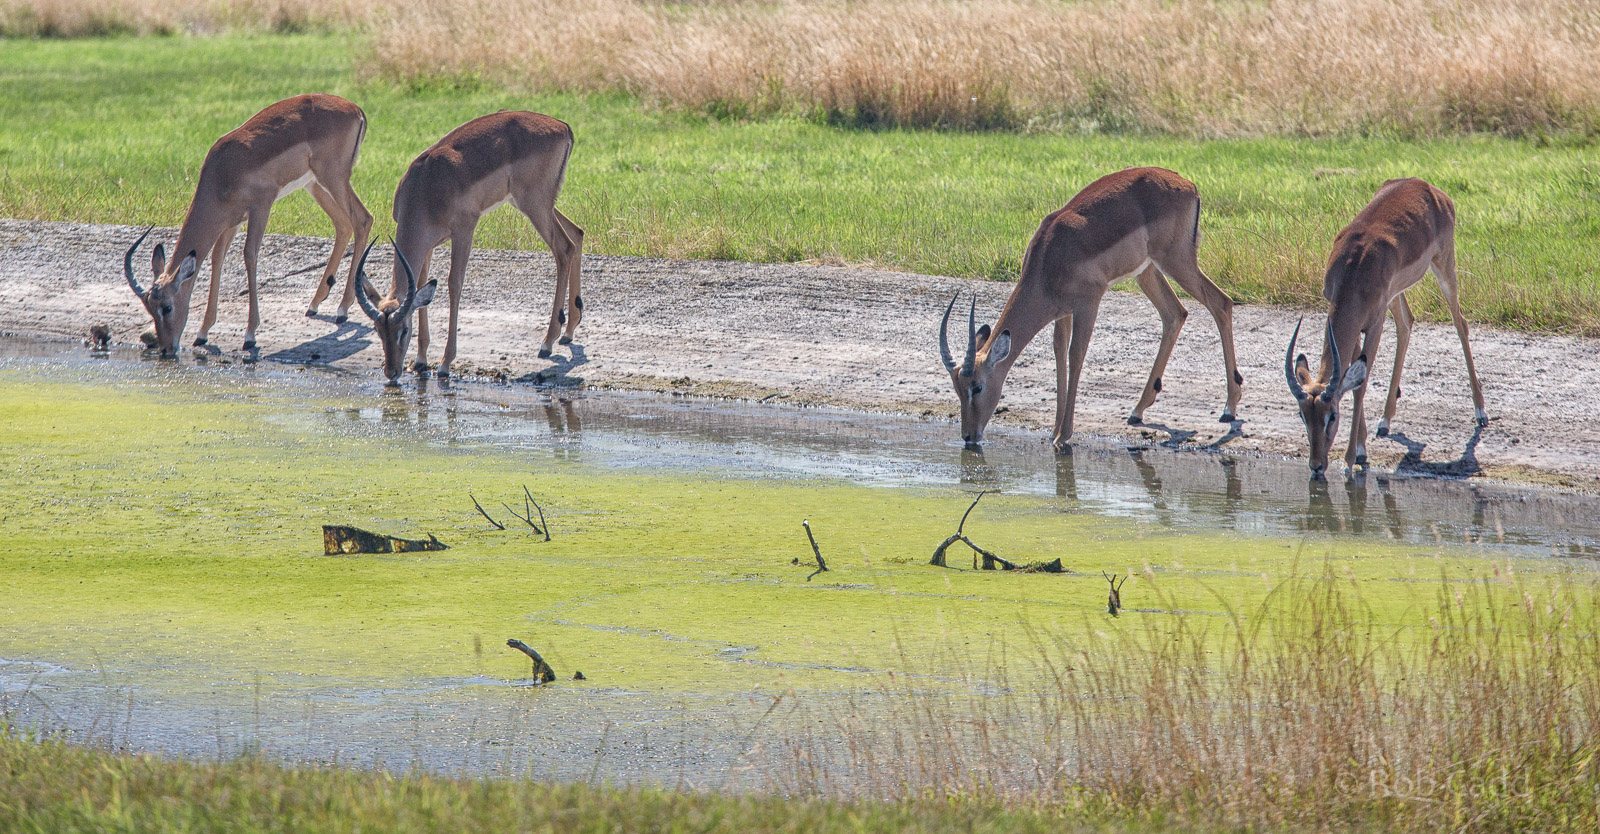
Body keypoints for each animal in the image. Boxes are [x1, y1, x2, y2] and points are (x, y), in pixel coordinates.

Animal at [122, 94, 373, 355]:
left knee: (362, 220)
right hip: (314, 184)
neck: (222, 173)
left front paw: (250, 335)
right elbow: (217, 258)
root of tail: (355, 108)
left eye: (167, 307)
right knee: (343, 225)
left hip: (333, 179)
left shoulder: (261, 207)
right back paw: (315, 304)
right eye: (149, 307)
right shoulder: (231, 222)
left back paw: (342, 309)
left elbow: (249, 255)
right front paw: (202, 333)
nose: (166, 349)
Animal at [357, 110, 583, 382]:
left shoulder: (464, 231)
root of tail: (562, 126)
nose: (391, 372)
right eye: (378, 330)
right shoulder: (429, 244)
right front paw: (421, 360)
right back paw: (568, 333)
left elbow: (454, 284)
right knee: (577, 234)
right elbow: (422, 288)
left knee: (564, 248)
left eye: (404, 329)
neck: (426, 188)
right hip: (535, 204)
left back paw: (547, 343)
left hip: (534, 205)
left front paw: (445, 363)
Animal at [941, 167, 1244, 451]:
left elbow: (1076, 356)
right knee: (1175, 313)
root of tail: (1187, 183)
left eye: (977, 387)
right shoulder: (1062, 312)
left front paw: (1063, 436)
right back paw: (1137, 410)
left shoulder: (1088, 302)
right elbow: (1059, 353)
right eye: (957, 388)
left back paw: (1229, 409)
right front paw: (1054, 431)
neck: (1048, 259)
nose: (968, 436)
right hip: (1146, 271)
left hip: (1175, 261)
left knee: (1221, 302)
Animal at [1285, 177, 1487, 479]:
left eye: (1332, 414)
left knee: (1460, 322)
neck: (1353, 268)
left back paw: (1480, 413)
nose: (1317, 466)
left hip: (1444, 265)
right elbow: (1353, 377)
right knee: (1406, 323)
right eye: (1302, 415)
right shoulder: (1356, 325)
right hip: (1396, 294)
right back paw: (1385, 421)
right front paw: (1361, 451)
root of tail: (1427, 186)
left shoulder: (1375, 323)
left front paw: (1350, 460)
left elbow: (1360, 385)